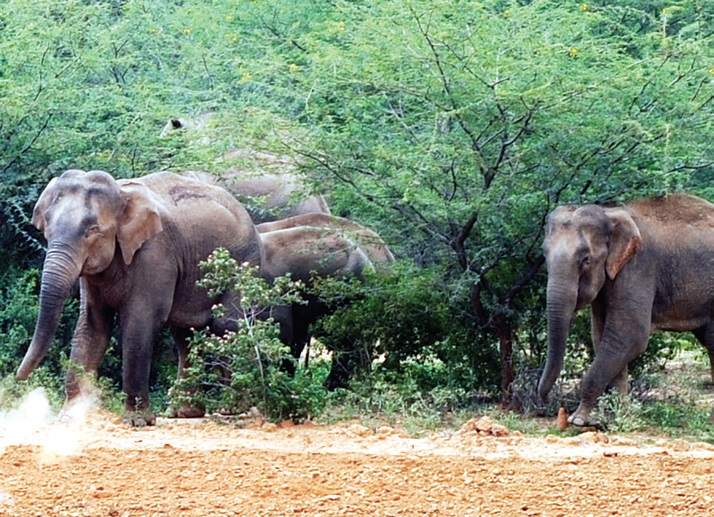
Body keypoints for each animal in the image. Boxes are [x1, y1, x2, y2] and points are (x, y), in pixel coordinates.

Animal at [18, 169, 262, 424]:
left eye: (92, 230)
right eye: (47, 228)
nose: (18, 378)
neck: (121, 194)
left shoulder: (155, 253)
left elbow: (140, 322)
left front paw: (138, 422)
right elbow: (92, 326)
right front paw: (70, 417)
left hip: (244, 262)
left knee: (227, 325)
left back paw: (234, 408)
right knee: (185, 334)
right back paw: (185, 413)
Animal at [536, 194, 712, 428]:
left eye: (586, 259)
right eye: (544, 254)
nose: (547, 403)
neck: (609, 212)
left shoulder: (639, 267)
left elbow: (628, 336)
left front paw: (579, 420)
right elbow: (602, 336)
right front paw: (617, 416)